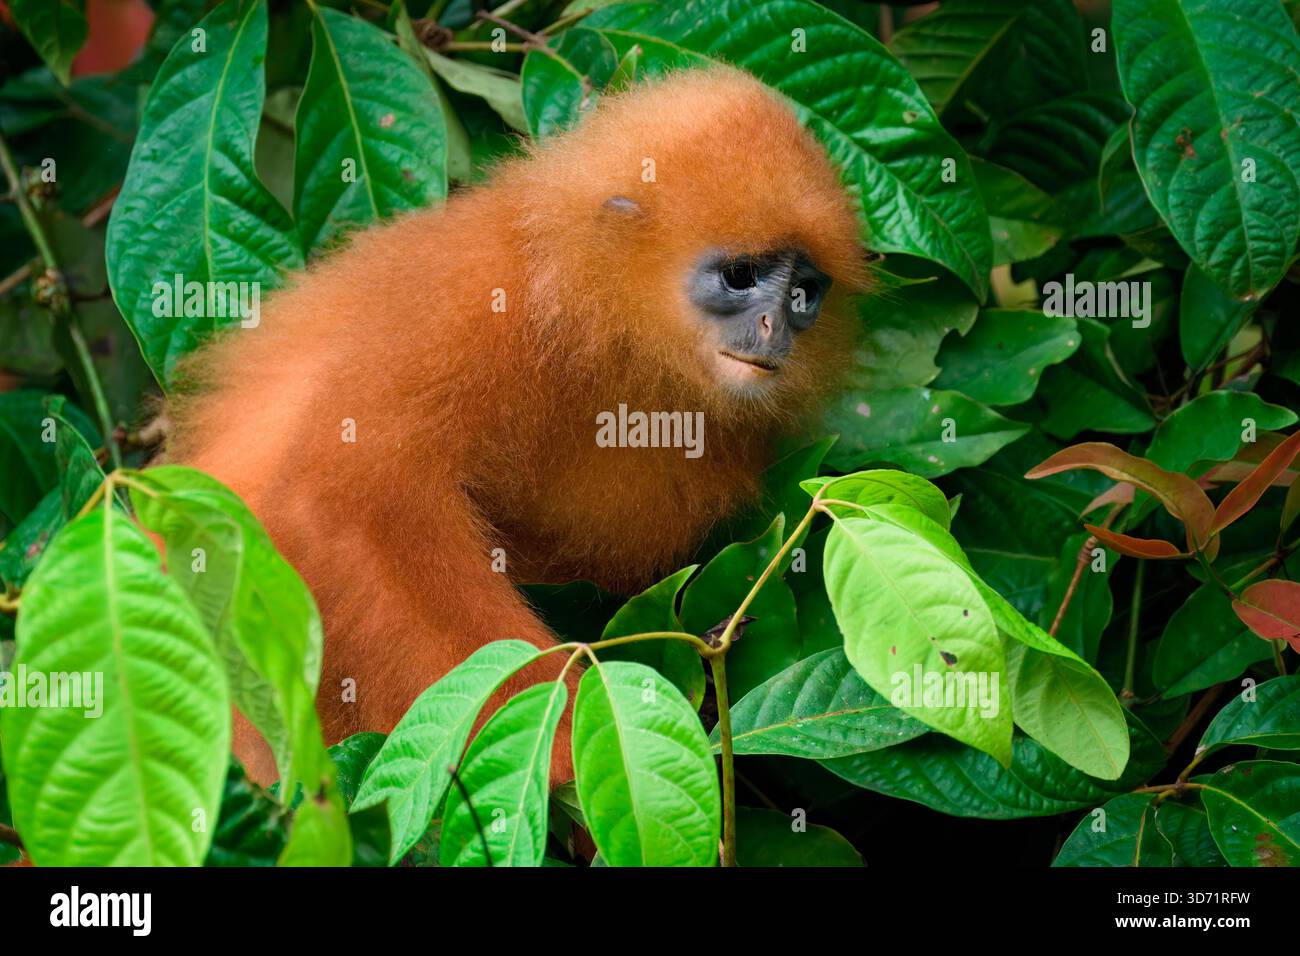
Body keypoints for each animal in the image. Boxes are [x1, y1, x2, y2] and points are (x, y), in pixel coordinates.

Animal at [161, 66, 868, 787]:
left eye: (803, 292)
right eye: (740, 275)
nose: (775, 327)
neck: (591, 321)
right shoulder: (472, 306)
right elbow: (335, 502)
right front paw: (571, 733)